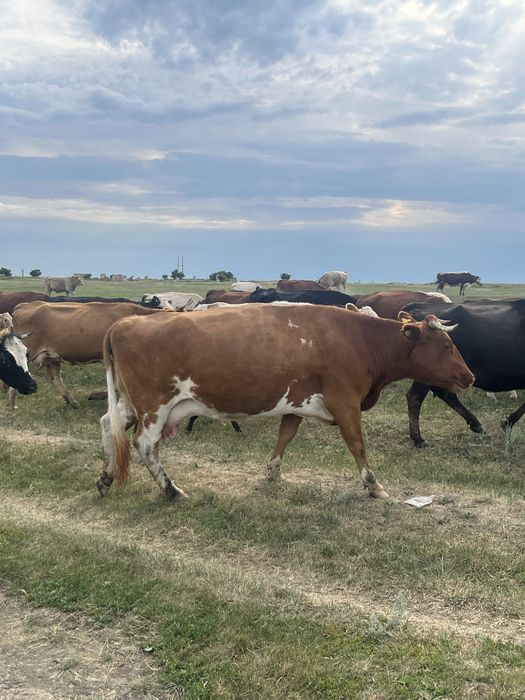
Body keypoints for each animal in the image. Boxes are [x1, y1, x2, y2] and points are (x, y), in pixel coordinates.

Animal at [96, 304, 473, 501]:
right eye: (445, 346)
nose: (469, 376)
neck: (359, 339)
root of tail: (124, 322)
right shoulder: (344, 400)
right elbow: (357, 444)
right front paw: (374, 485)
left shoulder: (297, 402)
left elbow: (285, 435)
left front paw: (273, 472)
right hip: (154, 406)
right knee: (144, 444)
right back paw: (171, 489)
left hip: (129, 403)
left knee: (107, 426)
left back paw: (105, 477)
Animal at [401, 297, 525, 447]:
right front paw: (508, 422)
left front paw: (507, 422)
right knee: (415, 397)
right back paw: (418, 439)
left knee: (446, 395)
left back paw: (476, 425)